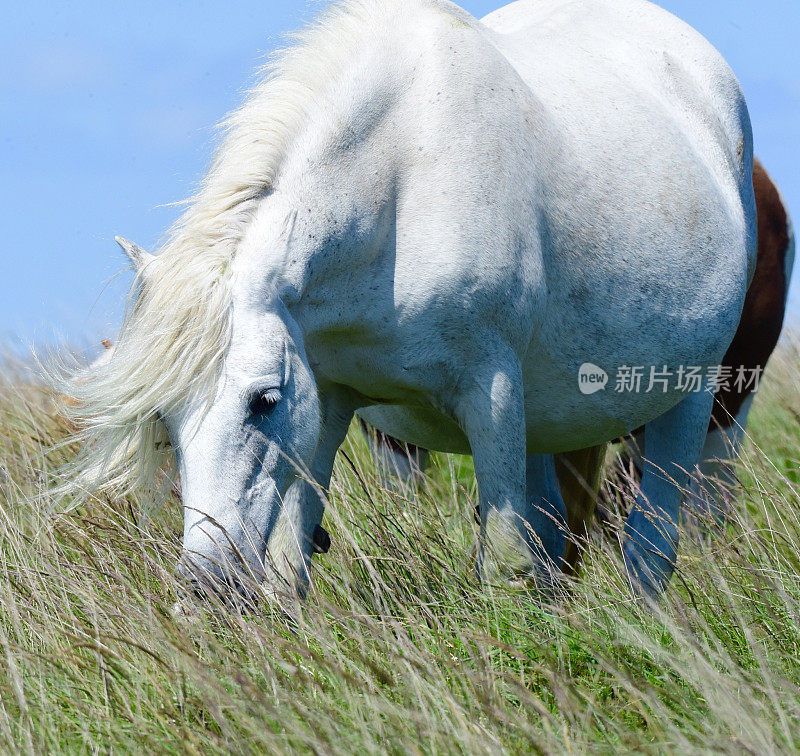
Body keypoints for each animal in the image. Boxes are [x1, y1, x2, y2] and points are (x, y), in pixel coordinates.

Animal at [67, 0, 756, 604]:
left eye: (263, 400)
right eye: (165, 420)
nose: (206, 586)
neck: (403, 184)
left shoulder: (491, 393)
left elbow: (506, 563)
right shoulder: (330, 398)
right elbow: (291, 564)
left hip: (691, 398)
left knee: (651, 549)